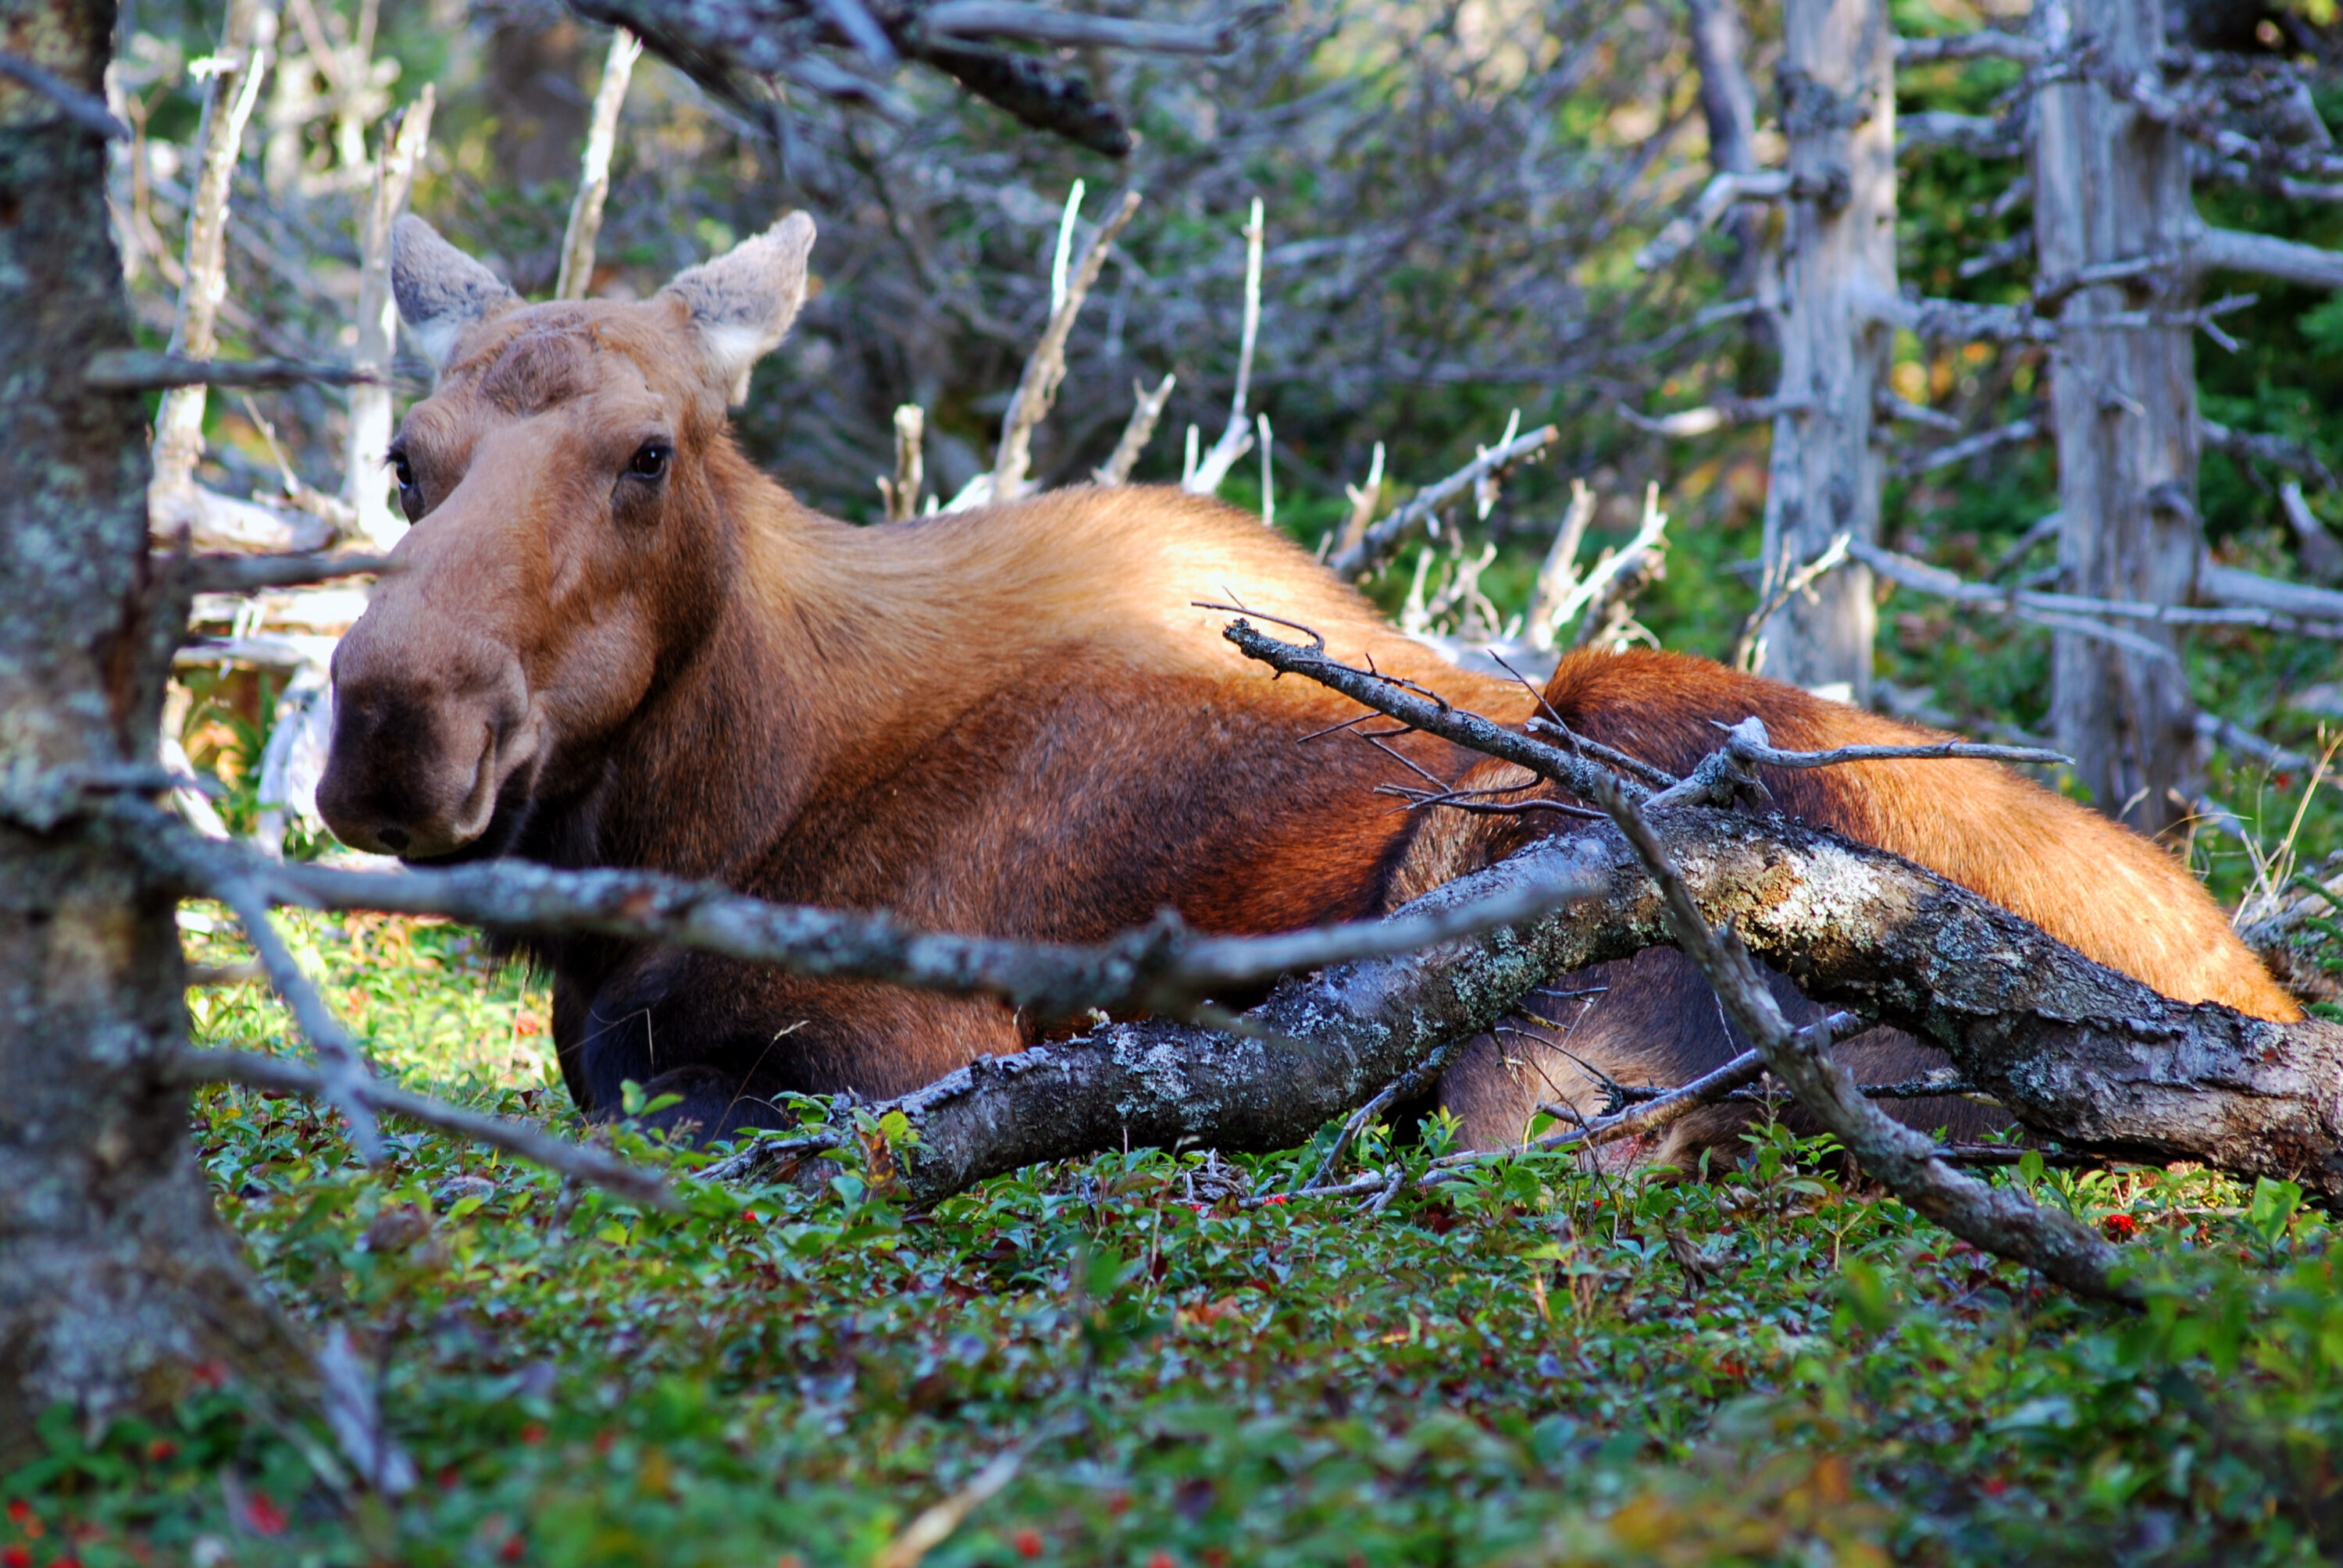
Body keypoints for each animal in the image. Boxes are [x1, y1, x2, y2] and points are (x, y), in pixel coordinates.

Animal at [316, 210, 2299, 1159]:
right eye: (406, 459)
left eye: (647, 453)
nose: (397, 725)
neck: (704, 810)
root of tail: (2255, 1001)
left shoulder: (901, 1043)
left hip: (1577, 854)